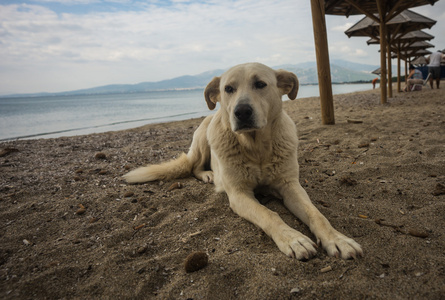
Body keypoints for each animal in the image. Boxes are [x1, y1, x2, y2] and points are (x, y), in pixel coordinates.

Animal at [124, 62, 360, 258]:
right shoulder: (239, 194)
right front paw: (293, 239)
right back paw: (208, 174)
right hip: (203, 138)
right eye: (228, 89)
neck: (257, 149)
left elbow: (317, 214)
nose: (242, 112)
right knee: (194, 167)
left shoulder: (290, 185)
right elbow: (269, 214)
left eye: (260, 84)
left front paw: (337, 239)